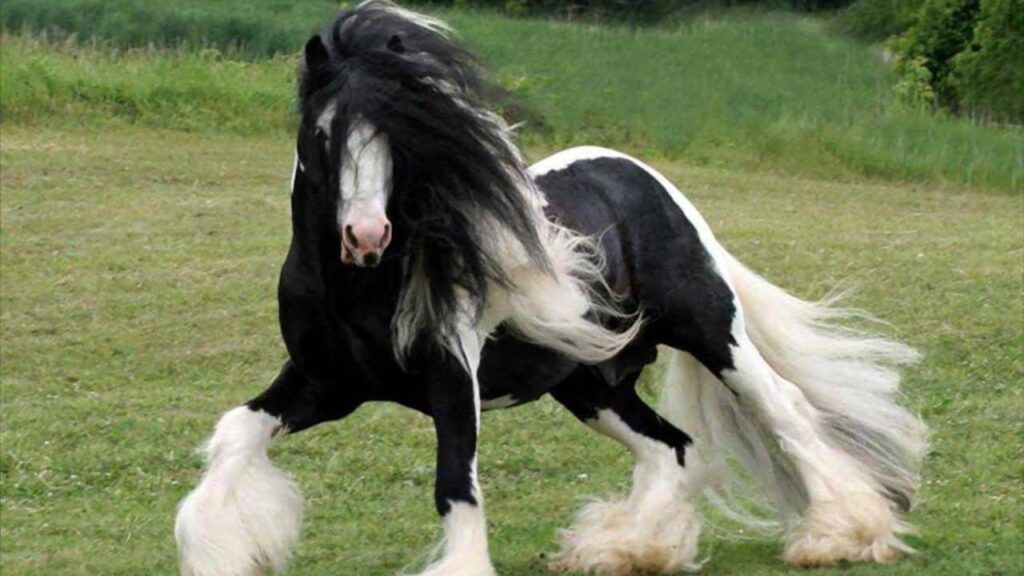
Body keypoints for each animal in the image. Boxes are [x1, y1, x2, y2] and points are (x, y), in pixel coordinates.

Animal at [174, 2, 926, 575]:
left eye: (401, 137)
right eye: (325, 132)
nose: (365, 235)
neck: (356, 290)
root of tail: (644, 179)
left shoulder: (451, 381)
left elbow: (456, 486)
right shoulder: (324, 383)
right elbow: (235, 432)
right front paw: (219, 550)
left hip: (713, 332)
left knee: (786, 411)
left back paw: (839, 535)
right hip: (591, 383)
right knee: (672, 447)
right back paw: (626, 549)